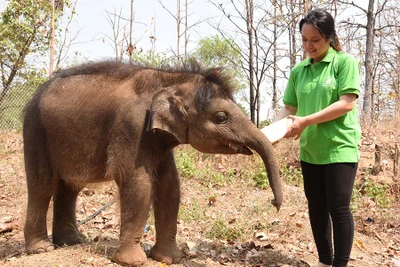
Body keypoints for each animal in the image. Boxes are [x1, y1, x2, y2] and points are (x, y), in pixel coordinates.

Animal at [22, 61, 282, 266]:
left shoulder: (159, 138)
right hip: (35, 131)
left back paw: (72, 242)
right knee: (42, 186)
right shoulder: (131, 127)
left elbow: (169, 185)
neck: (169, 79)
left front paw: (168, 259)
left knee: (69, 188)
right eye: (221, 117)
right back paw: (42, 248)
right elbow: (138, 183)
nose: (275, 203)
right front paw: (132, 261)